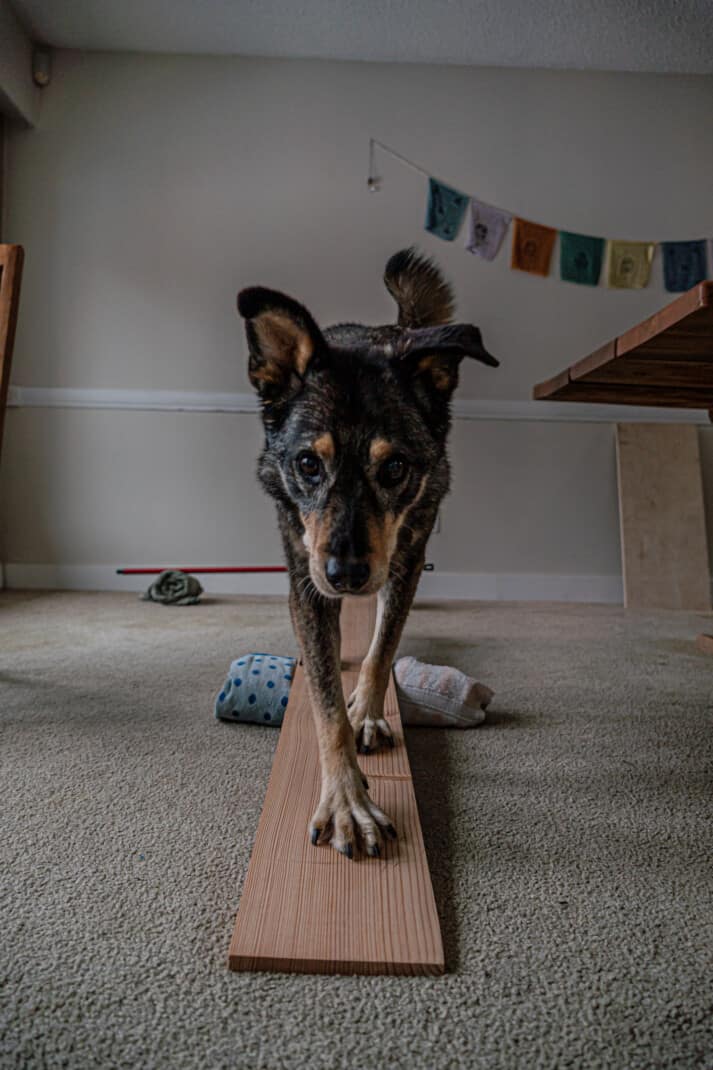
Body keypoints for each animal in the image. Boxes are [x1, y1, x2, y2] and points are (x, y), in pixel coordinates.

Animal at [237, 246, 494, 856]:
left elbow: (382, 649)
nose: (346, 574)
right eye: (308, 463)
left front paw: (369, 713)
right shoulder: (305, 581)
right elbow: (326, 706)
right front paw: (347, 800)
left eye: (395, 467)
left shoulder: (406, 564)